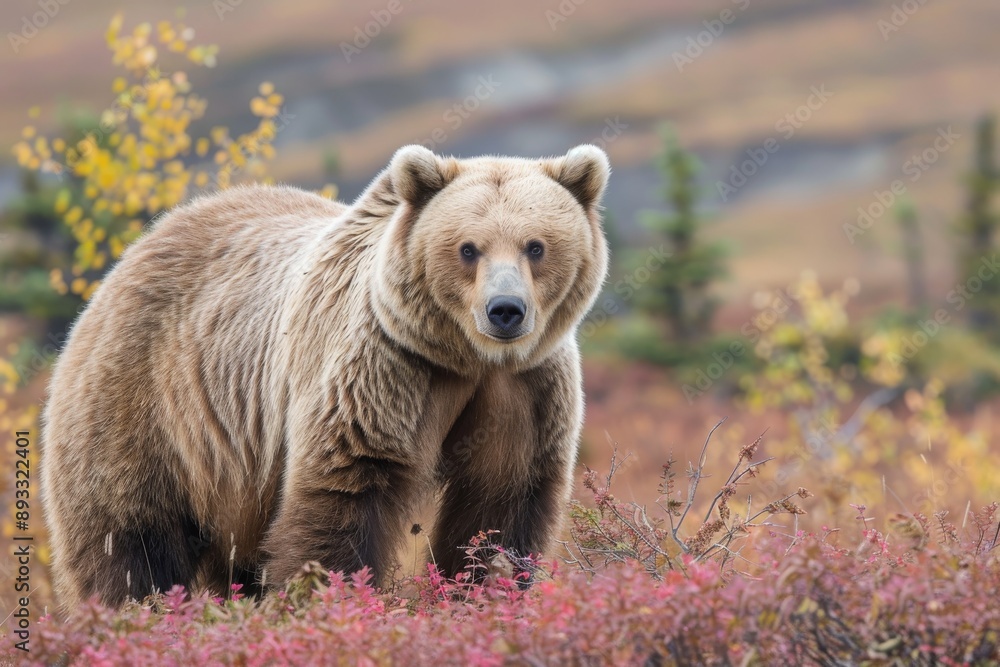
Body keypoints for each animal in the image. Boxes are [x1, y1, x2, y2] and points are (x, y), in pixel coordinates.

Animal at [41, 144, 610, 610]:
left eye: (536, 246)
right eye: (468, 248)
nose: (505, 310)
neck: (466, 358)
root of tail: (130, 256)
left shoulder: (524, 388)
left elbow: (501, 501)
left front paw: (482, 589)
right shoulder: (385, 364)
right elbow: (345, 489)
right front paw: (327, 597)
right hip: (145, 402)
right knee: (128, 538)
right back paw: (133, 612)